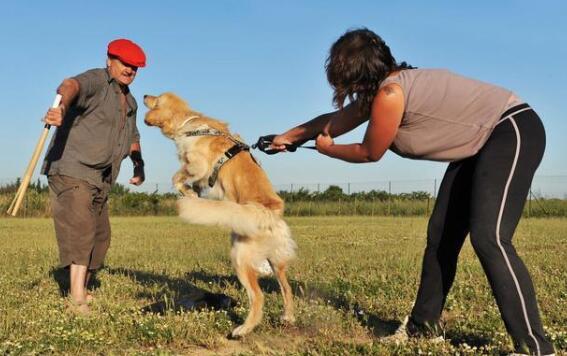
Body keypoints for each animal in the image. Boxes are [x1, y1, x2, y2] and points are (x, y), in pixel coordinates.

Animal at [143, 92, 298, 336]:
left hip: (240, 256)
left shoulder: (197, 165)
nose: (143, 95)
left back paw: (242, 329)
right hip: (276, 262)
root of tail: (272, 211)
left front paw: (187, 192)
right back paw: (287, 317)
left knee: (258, 297)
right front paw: (193, 191)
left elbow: (177, 176)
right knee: (287, 289)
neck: (189, 124)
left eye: (156, 98)